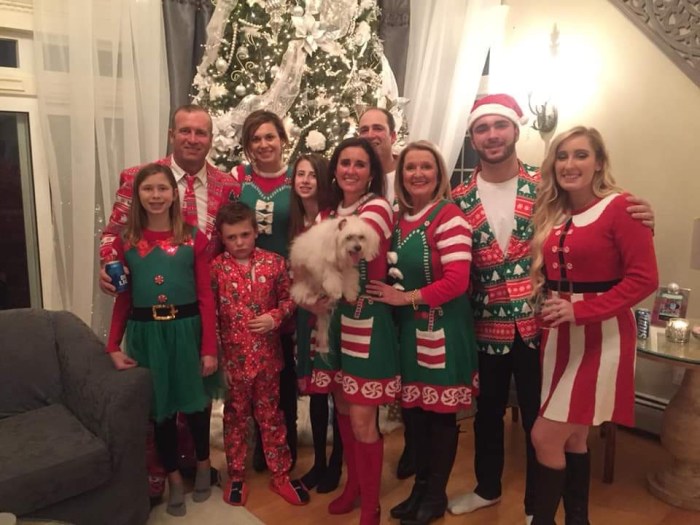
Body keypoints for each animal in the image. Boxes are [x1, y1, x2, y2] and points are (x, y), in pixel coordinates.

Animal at [289, 215, 380, 351]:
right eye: (348, 237)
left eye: (361, 237)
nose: (358, 247)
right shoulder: (324, 264)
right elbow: (332, 278)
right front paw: (336, 292)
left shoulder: (347, 268)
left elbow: (349, 279)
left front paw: (351, 294)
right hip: (305, 283)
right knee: (302, 293)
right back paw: (312, 297)